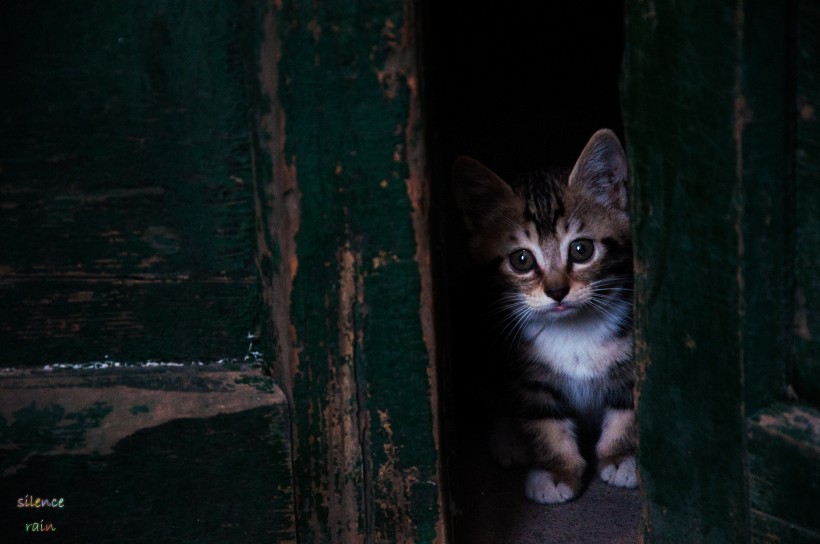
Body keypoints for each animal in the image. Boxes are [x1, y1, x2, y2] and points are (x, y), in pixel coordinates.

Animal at [454, 130, 636, 504]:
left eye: (581, 249)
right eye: (521, 259)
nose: (556, 290)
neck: (573, 330)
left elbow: (626, 407)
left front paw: (621, 455)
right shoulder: (527, 372)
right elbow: (546, 421)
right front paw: (558, 471)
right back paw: (509, 439)